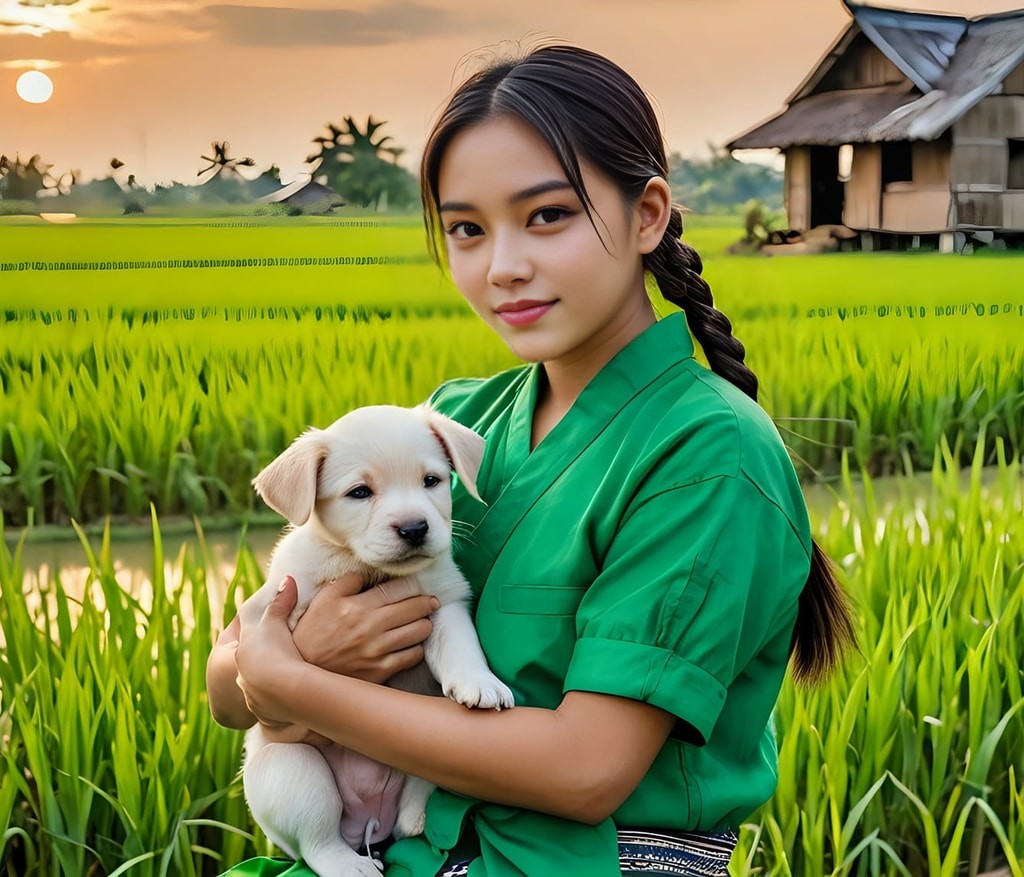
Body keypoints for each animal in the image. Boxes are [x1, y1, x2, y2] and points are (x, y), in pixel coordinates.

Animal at [236, 403, 516, 877]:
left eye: (431, 480)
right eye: (360, 492)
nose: (415, 528)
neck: (370, 569)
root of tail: (367, 819)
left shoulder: (445, 603)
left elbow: (463, 648)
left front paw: (482, 684)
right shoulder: (277, 611)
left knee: (414, 797)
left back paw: (415, 817)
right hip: (295, 771)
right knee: (318, 842)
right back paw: (349, 864)